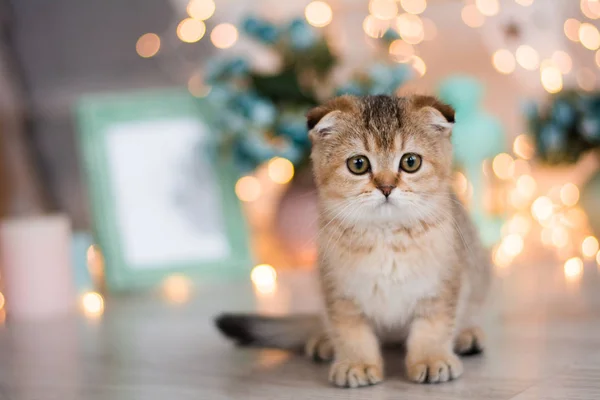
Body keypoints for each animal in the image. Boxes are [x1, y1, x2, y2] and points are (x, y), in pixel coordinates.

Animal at [216, 94, 492, 388]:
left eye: (411, 162)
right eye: (358, 164)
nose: (386, 187)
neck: (386, 236)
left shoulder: (442, 286)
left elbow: (433, 328)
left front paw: (431, 359)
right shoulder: (339, 292)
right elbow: (351, 333)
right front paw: (356, 364)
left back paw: (467, 335)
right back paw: (323, 341)